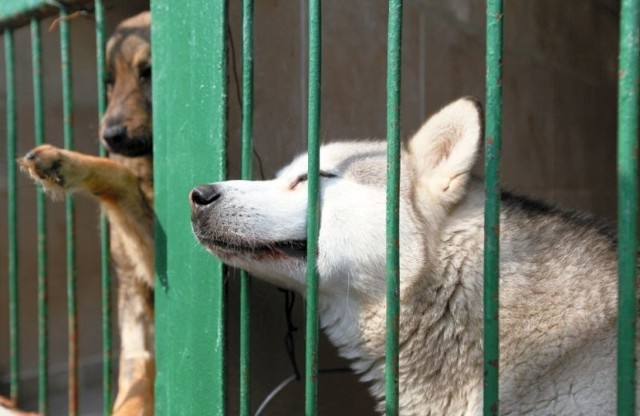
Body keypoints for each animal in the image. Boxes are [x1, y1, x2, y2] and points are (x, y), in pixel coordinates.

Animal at [19, 12, 154, 416]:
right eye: (109, 82)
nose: (109, 136)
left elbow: (120, 176)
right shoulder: (134, 296)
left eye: (149, 73)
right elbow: (134, 378)